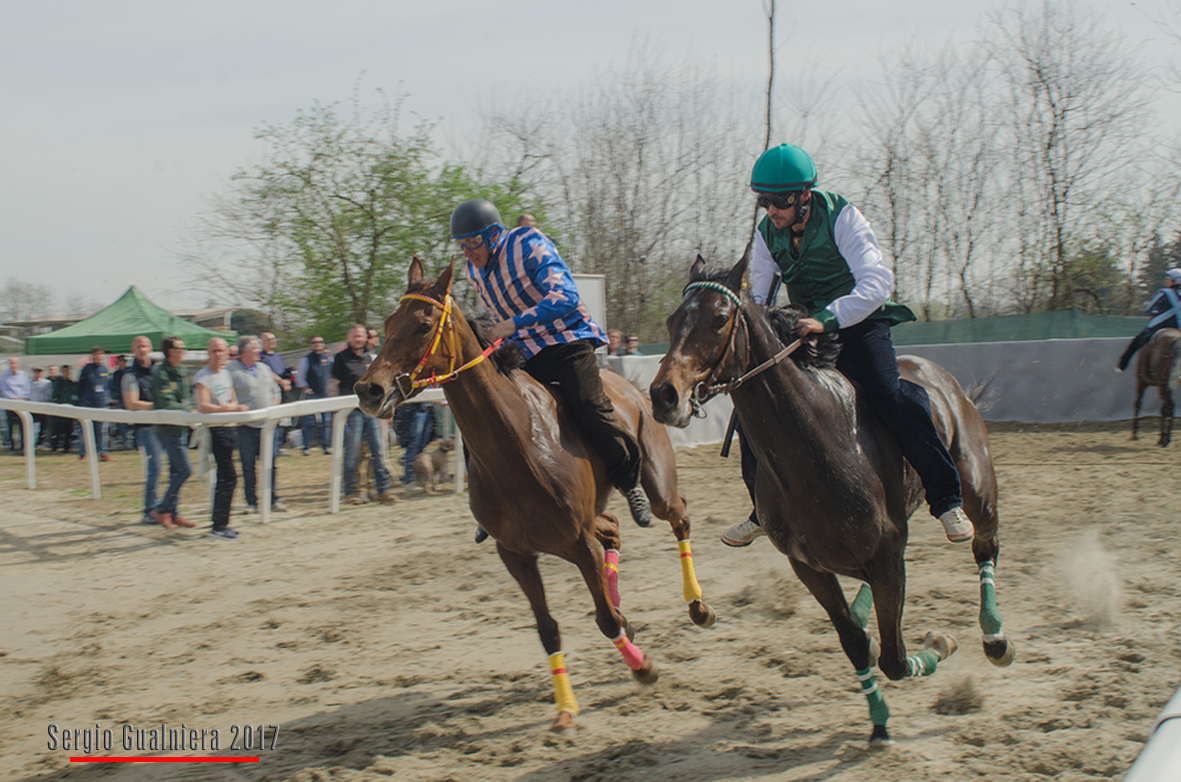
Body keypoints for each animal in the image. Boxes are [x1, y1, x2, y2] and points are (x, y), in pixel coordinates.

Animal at [354, 258, 713, 737]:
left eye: (423, 324)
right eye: (388, 323)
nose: (368, 390)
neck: (517, 447)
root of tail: (635, 386)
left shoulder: (578, 544)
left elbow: (603, 620)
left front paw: (643, 667)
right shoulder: (516, 553)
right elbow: (548, 629)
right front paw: (566, 708)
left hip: (656, 484)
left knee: (678, 517)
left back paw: (698, 605)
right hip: (587, 520)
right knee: (614, 531)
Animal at [647, 253, 1015, 751]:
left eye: (720, 319)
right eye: (671, 321)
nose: (664, 395)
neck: (821, 447)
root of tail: (945, 382)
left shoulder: (886, 557)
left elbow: (896, 658)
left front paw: (939, 643)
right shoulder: (811, 567)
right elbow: (858, 644)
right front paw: (878, 720)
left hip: (978, 488)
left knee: (984, 547)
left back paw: (995, 636)